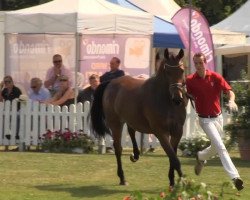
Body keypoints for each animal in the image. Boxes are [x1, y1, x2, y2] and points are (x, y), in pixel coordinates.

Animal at [91, 48, 187, 188]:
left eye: (182, 70)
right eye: (167, 72)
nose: (178, 99)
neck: (166, 100)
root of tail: (110, 83)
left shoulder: (177, 131)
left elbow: (172, 155)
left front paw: (172, 181)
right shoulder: (161, 132)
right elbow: (174, 158)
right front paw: (185, 183)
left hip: (131, 118)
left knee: (131, 130)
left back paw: (135, 154)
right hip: (116, 123)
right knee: (118, 148)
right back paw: (122, 178)